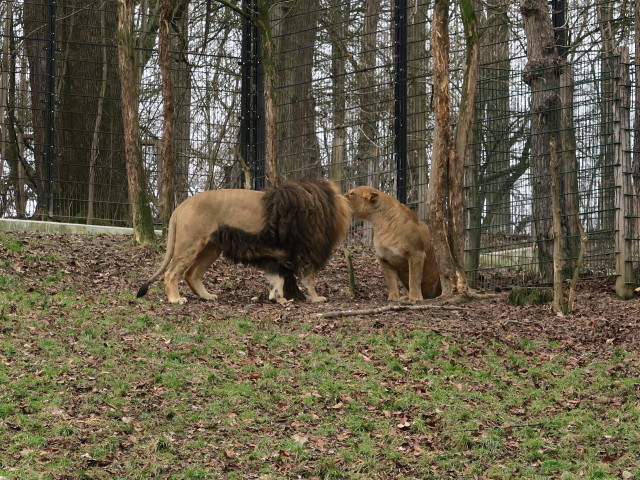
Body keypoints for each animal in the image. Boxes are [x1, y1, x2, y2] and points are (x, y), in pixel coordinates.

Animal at [134, 178, 350, 306]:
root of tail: (180, 207)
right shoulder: (306, 252)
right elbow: (309, 279)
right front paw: (316, 298)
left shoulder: (276, 254)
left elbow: (278, 277)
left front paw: (277, 297)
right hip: (190, 244)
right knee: (171, 274)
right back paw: (175, 299)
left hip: (211, 249)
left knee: (191, 274)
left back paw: (207, 296)